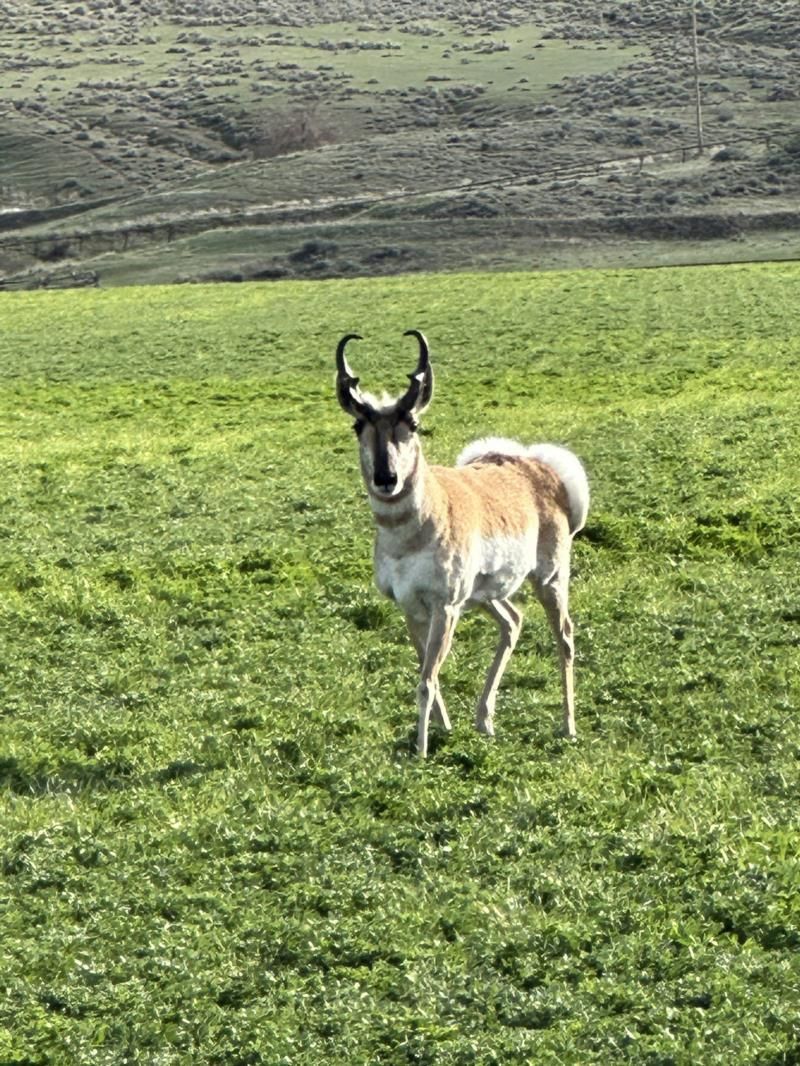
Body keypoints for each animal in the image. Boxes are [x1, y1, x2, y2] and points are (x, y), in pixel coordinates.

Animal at [336, 329, 590, 758]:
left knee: (565, 636)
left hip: (549, 580)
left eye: (413, 422)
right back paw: (484, 721)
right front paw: (444, 729)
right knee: (512, 622)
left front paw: (421, 750)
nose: (387, 478)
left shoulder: (446, 606)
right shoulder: (411, 607)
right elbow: (427, 672)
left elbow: (426, 680)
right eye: (358, 425)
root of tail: (536, 466)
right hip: (486, 595)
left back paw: (568, 727)